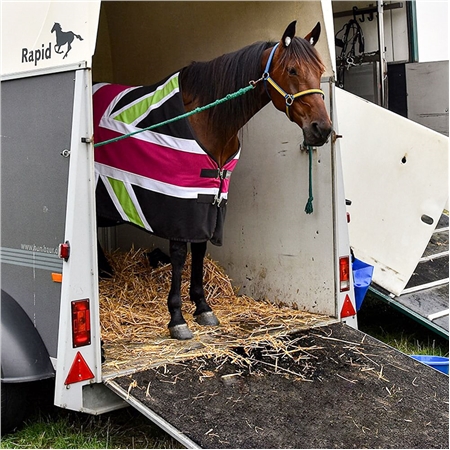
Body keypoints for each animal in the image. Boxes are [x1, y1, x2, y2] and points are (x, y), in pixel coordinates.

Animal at [94, 20, 334, 338]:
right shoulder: (182, 200)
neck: (208, 118)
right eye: (293, 70)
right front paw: (177, 318)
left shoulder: (210, 198)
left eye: (320, 71)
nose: (322, 129)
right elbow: (180, 253)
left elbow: (200, 248)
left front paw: (202, 307)